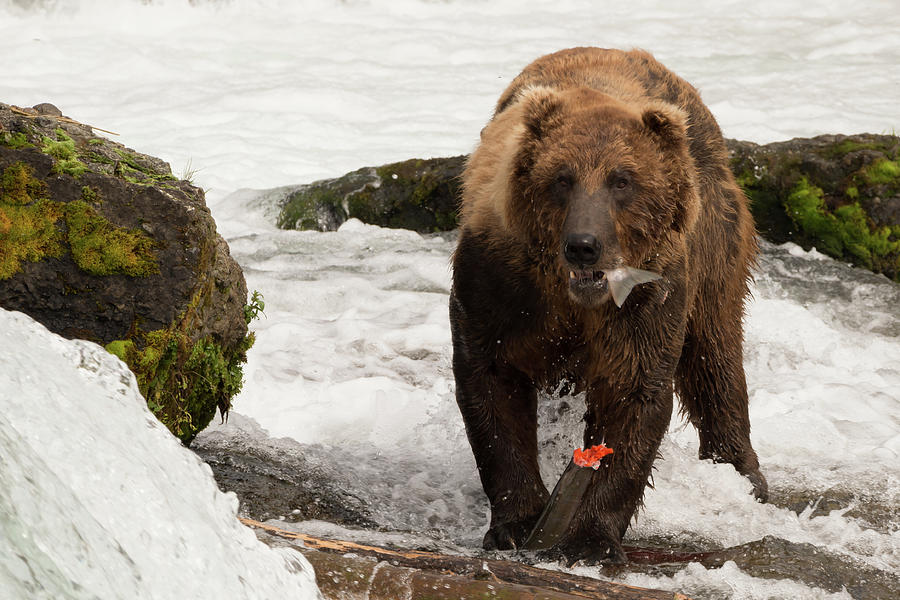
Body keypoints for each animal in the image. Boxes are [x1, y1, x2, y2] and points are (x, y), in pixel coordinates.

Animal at [450, 47, 768, 564]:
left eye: (623, 180)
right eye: (562, 177)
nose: (584, 245)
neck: (573, 298)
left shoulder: (647, 299)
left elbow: (634, 393)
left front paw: (590, 539)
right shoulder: (498, 284)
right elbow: (491, 382)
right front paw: (517, 522)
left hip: (714, 243)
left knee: (714, 349)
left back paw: (743, 474)